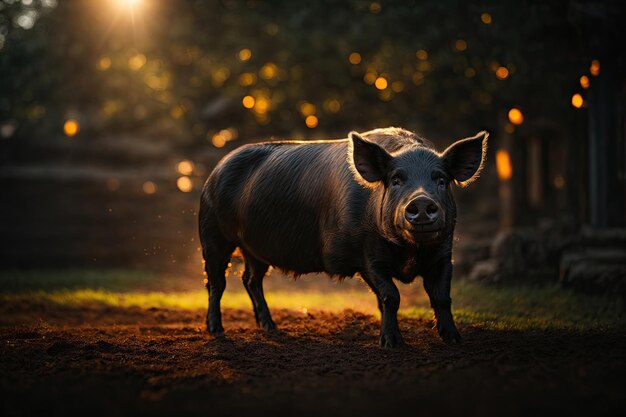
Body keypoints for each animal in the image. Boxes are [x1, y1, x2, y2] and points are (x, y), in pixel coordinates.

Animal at [200, 127, 488, 348]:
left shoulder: (443, 255)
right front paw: (392, 344)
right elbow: (391, 296)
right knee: (216, 282)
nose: (421, 201)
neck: (410, 251)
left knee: (250, 280)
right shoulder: (367, 257)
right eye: (396, 180)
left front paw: (454, 340)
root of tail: (215, 171)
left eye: (441, 180)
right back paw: (216, 329)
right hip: (213, 235)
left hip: (254, 249)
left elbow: (441, 297)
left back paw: (270, 327)